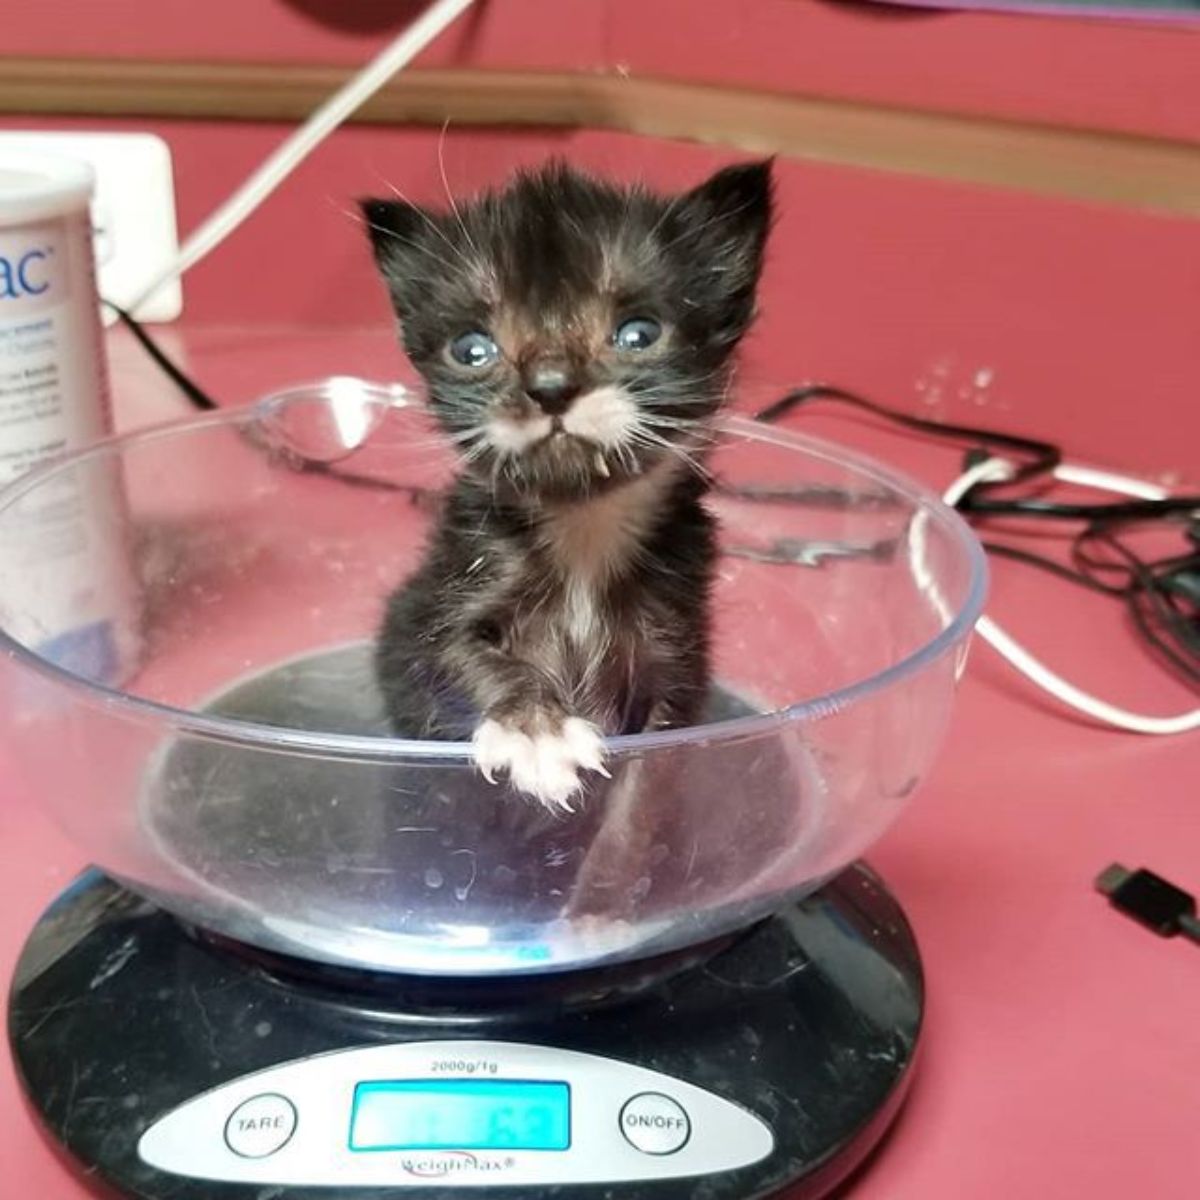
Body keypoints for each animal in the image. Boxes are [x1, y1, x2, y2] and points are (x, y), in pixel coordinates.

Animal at [360, 159, 772, 811]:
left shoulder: (676, 651)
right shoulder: (431, 608)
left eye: (638, 333)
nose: (549, 386)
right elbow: (455, 651)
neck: (585, 532)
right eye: (471, 349)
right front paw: (536, 731)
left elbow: (647, 779)